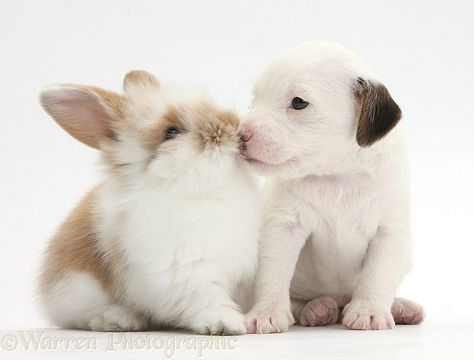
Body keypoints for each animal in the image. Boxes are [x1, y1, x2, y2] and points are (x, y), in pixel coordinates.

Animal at [37, 70, 262, 334]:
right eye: (172, 133)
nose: (232, 125)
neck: (197, 189)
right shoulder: (186, 269)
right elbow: (207, 298)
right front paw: (226, 323)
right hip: (78, 289)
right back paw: (119, 319)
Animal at [243, 41, 424, 332]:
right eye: (254, 99)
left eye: (299, 102)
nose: (240, 135)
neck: (337, 174)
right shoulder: (282, 226)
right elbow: (273, 272)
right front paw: (266, 313)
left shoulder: (389, 231)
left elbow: (378, 274)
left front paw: (369, 311)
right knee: (299, 300)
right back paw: (316, 309)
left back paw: (400, 307)